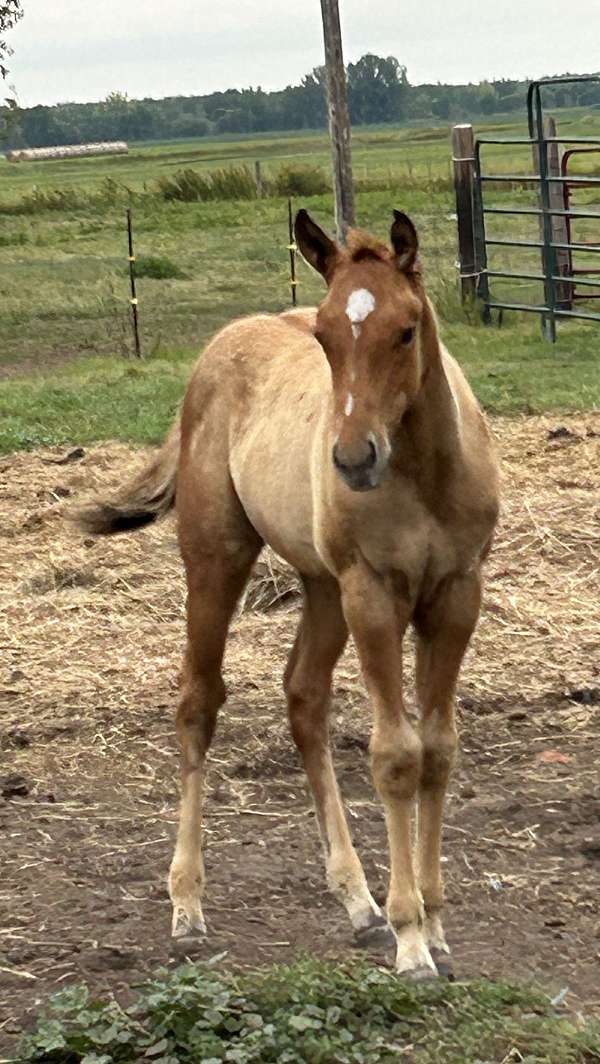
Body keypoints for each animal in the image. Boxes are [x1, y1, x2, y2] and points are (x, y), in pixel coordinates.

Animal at [76, 209, 500, 979]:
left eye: (406, 329)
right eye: (326, 336)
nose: (354, 459)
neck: (425, 474)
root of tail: (218, 347)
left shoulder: (457, 595)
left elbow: (439, 749)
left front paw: (433, 921)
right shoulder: (375, 596)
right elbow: (396, 755)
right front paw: (412, 940)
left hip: (323, 585)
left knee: (304, 696)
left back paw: (358, 901)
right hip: (222, 559)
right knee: (197, 701)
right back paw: (188, 905)